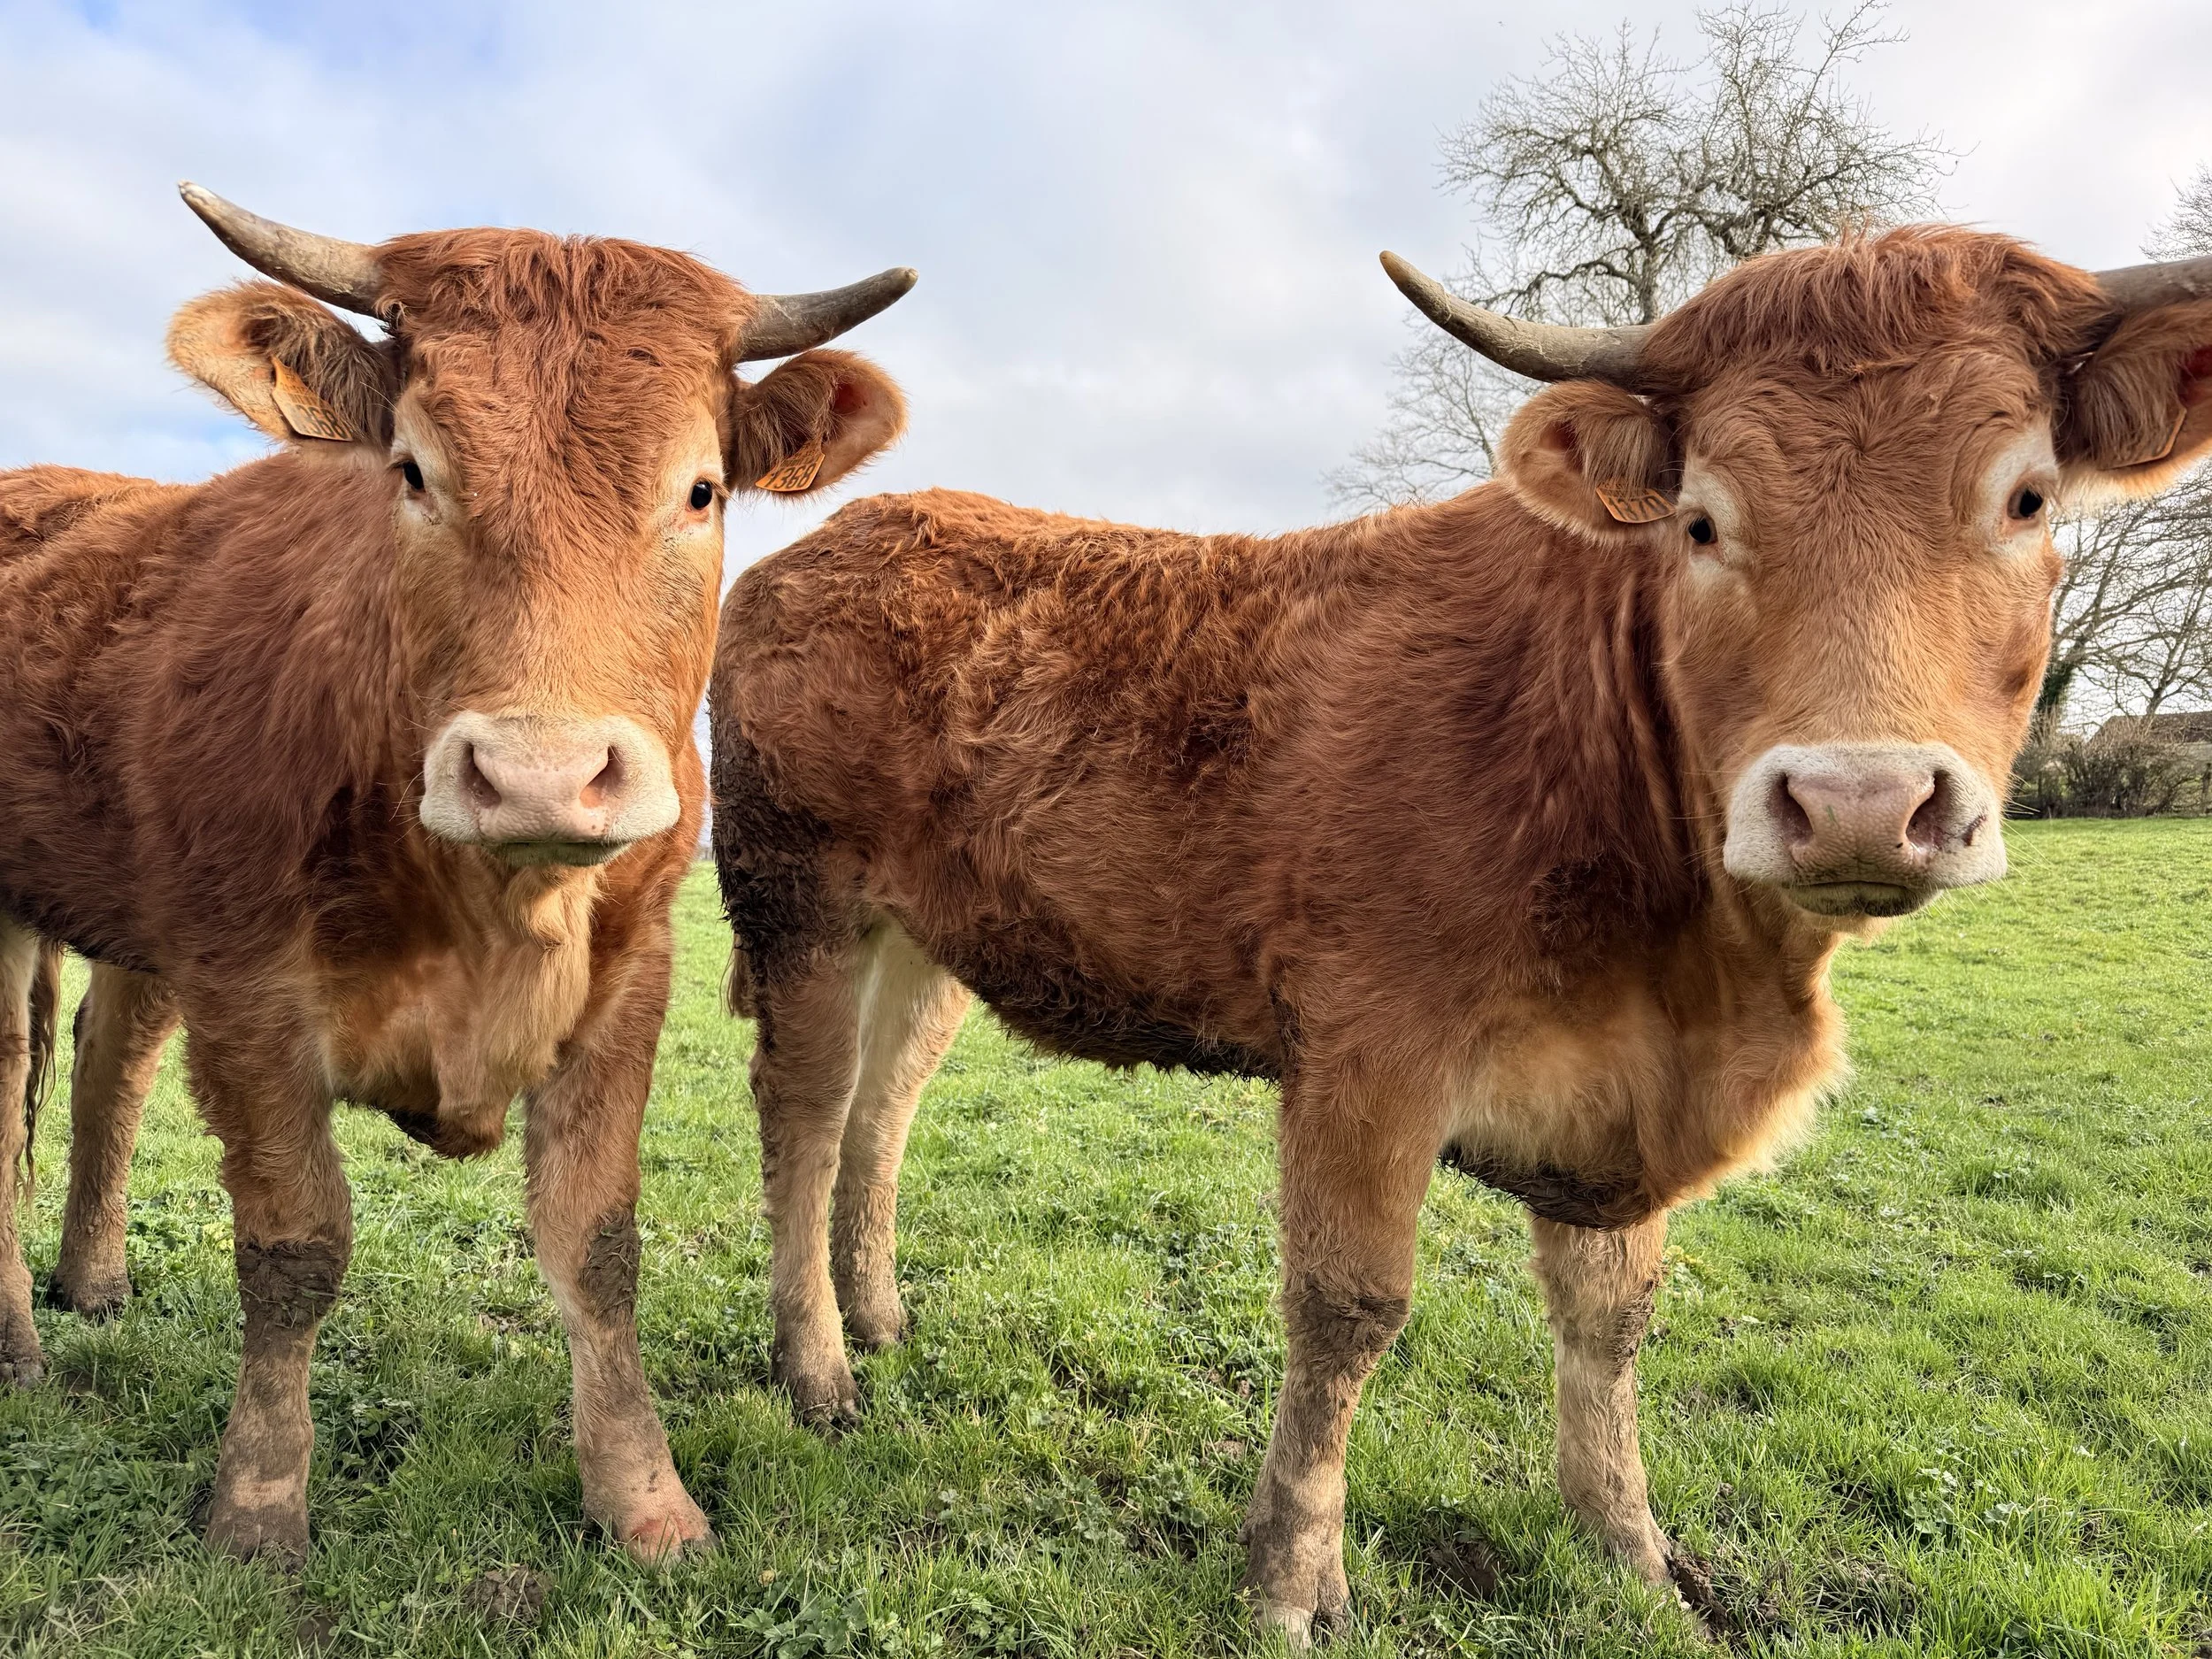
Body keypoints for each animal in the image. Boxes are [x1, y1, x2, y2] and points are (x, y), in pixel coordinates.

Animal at [0, 184, 913, 1562]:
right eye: (414, 471)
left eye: (701, 489)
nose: (539, 773)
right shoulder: (246, 986)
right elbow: (293, 1245)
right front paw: (257, 1505)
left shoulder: (630, 979)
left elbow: (598, 1244)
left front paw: (646, 1498)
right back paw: (18, 1341)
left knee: (111, 1057)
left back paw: (91, 1278)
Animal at [707, 227, 2212, 1640]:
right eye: (1703, 520)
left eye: (2026, 497)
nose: (1858, 800)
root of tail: (840, 533)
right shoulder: (1366, 1053)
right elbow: (1349, 1304)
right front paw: (1292, 1575)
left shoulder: (1612, 1103)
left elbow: (1612, 1319)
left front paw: (1633, 1551)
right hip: (799, 897)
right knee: (803, 1108)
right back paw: (818, 1367)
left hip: (926, 937)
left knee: (883, 1107)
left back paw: (878, 1316)